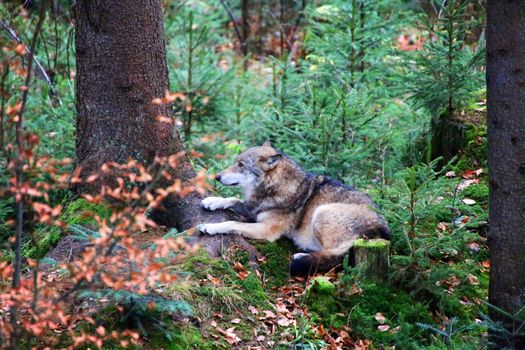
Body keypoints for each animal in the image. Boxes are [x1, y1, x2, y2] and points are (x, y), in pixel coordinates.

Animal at [196, 142, 388, 276]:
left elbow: (232, 223)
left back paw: (300, 257)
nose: (216, 176)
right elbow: (233, 199)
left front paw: (210, 227)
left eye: (241, 165)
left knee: (336, 258)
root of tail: (383, 231)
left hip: (322, 212)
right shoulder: (253, 209)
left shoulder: (267, 230)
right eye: (236, 162)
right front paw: (212, 201)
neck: (275, 187)